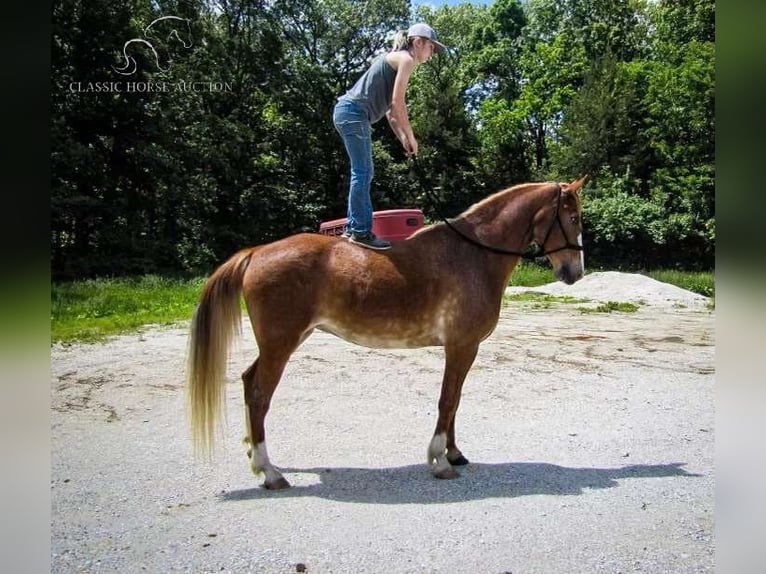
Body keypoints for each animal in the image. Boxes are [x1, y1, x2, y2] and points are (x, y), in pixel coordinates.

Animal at [189, 177, 592, 490]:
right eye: (573, 218)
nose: (575, 271)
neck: (472, 255)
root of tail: (256, 252)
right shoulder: (461, 346)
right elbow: (447, 400)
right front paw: (439, 460)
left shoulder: (465, 348)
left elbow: (456, 400)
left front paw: (454, 453)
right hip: (281, 344)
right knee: (259, 395)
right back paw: (269, 472)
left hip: (284, 341)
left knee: (247, 381)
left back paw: (253, 453)